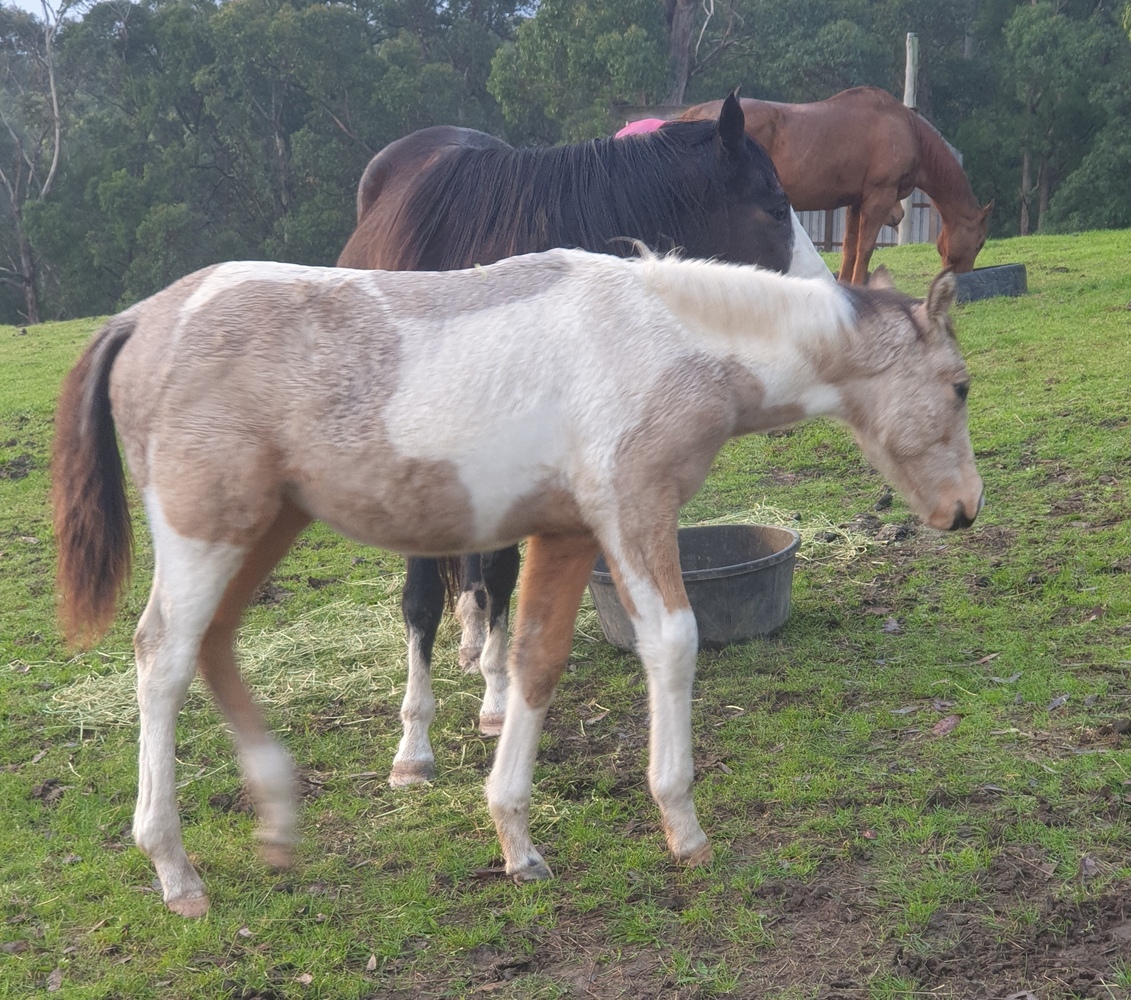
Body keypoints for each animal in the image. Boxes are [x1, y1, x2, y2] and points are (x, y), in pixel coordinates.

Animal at [52, 247, 983, 915]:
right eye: (961, 386)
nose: (964, 510)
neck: (671, 343)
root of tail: (140, 318)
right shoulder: (631, 510)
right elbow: (672, 644)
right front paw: (682, 826)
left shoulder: (564, 532)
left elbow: (535, 658)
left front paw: (515, 840)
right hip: (203, 530)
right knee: (162, 657)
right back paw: (175, 872)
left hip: (265, 526)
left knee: (214, 643)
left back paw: (278, 822)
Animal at [337, 93, 832, 789]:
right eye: (776, 204)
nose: (825, 309)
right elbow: (420, 600)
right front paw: (413, 745)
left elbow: (502, 576)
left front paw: (496, 699)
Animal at [681, 87, 994, 284]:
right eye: (980, 242)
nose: (963, 276)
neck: (905, 127)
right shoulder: (879, 197)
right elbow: (865, 249)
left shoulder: (855, 202)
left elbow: (849, 249)